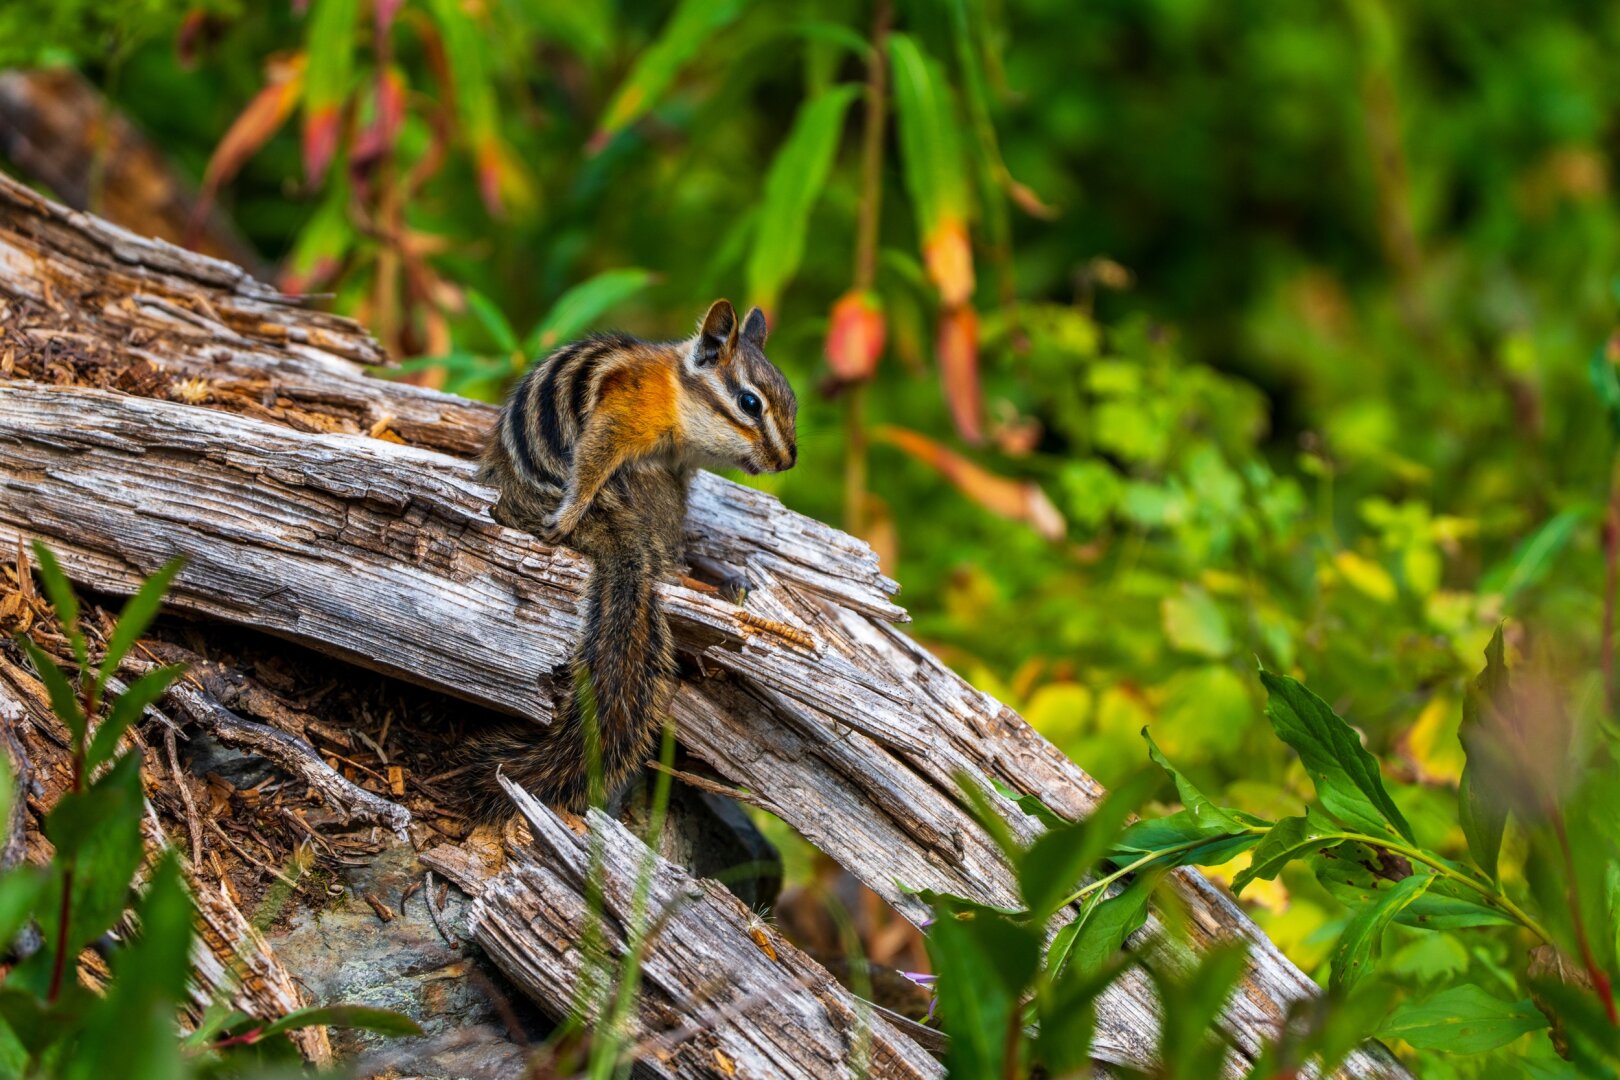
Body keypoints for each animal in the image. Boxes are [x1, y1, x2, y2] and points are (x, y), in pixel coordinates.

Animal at [467, 299, 798, 816]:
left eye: (793, 403)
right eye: (750, 403)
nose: (788, 460)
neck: (677, 390)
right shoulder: (627, 413)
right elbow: (595, 455)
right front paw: (570, 509)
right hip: (650, 483)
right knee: (660, 561)